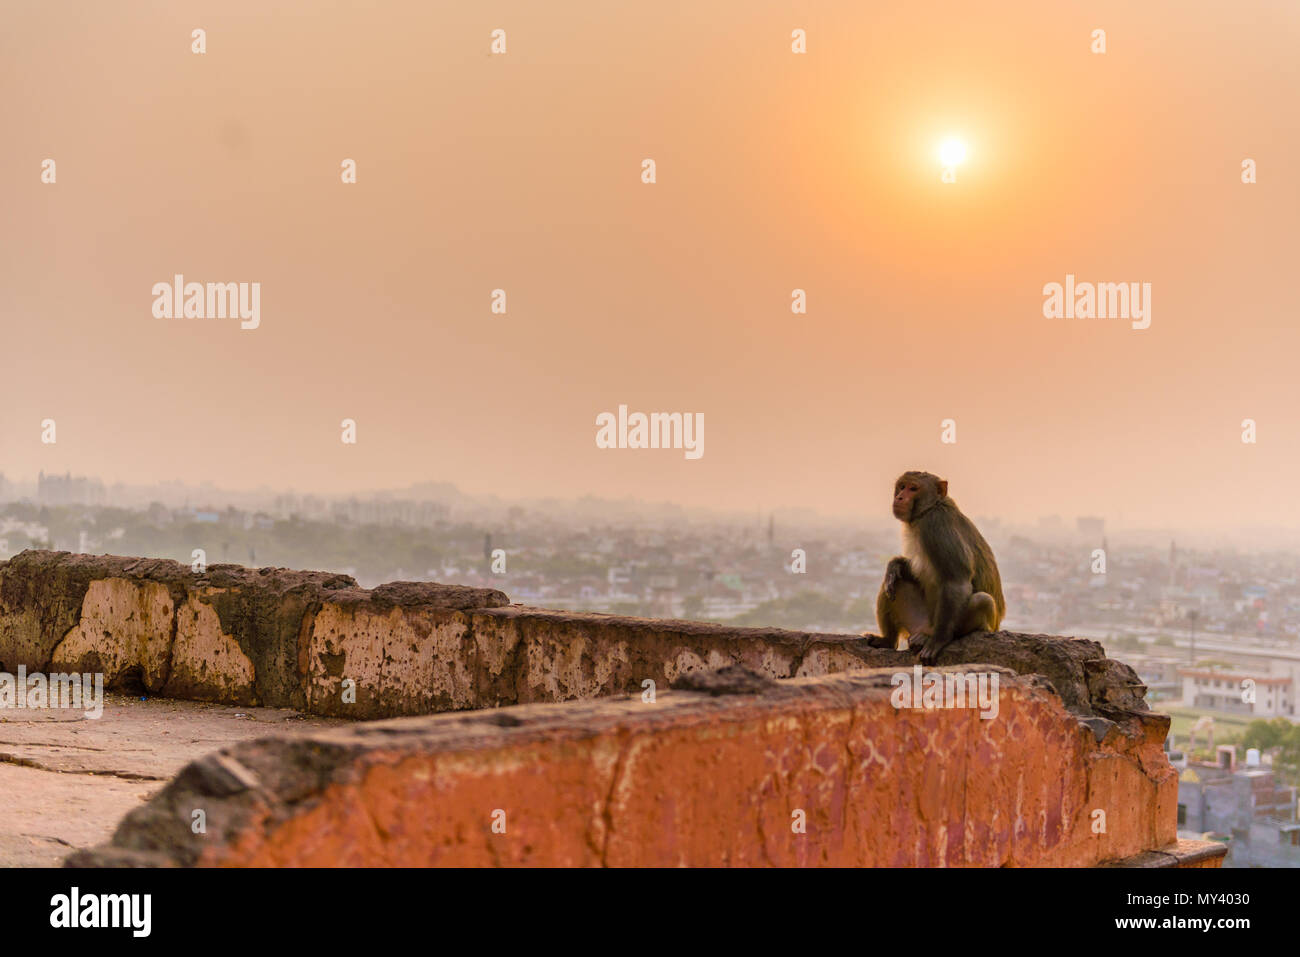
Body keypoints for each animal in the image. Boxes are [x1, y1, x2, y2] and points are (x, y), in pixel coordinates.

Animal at [868, 470, 1008, 665]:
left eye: (913, 488)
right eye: (902, 486)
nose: (900, 497)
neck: (930, 508)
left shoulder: (936, 525)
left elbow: (956, 581)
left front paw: (939, 640)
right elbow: (912, 572)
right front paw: (895, 565)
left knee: (983, 600)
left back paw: (929, 638)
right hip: (917, 621)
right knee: (893, 584)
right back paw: (887, 640)